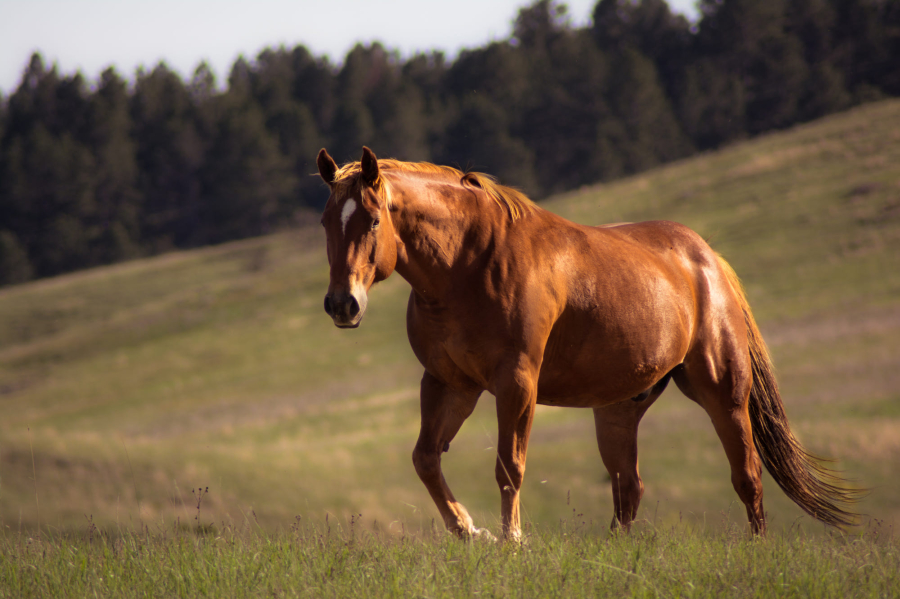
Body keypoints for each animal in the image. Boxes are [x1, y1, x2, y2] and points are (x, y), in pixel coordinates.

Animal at [314, 148, 856, 540]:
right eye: (325, 222)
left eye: (373, 220)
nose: (343, 305)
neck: (469, 263)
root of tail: (708, 260)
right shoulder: (449, 383)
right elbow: (426, 459)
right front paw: (470, 532)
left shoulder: (516, 382)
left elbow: (509, 466)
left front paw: (511, 542)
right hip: (618, 409)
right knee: (629, 489)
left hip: (722, 390)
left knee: (747, 475)